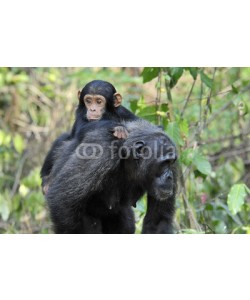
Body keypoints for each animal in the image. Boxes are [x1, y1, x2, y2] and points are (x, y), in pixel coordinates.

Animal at [45, 118, 178, 234]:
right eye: (164, 162)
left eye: (171, 162)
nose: (169, 176)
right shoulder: (100, 151)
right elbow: (62, 199)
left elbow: (157, 221)